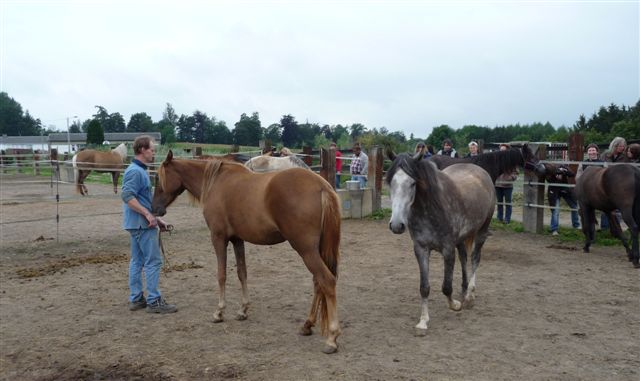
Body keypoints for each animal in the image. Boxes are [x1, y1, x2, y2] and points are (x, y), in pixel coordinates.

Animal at [151, 151, 342, 354]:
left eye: (158, 177)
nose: (154, 209)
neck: (216, 182)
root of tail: (322, 186)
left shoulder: (218, 238)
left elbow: (222, 275)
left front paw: (219, 312)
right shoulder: (237, 239)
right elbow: (242, 273)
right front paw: (243, 310)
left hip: (305, 250)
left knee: (326, 281)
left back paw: (331, 338)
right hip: (315, 250)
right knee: (318, 283)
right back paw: (307, 325)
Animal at [384, 150, 496, 334]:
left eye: (413, 183)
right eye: (390, 182)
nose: (397, 225)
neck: (430, 209)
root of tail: (480, 171)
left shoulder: (447, 249)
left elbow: (446, 286)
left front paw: (455, 306)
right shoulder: (421, 249)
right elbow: (424, 287)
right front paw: (423, 321)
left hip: (482, 231)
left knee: (475, 259)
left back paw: (470, 296)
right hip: (462, 238)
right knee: (464, 257)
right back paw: (464, 288)